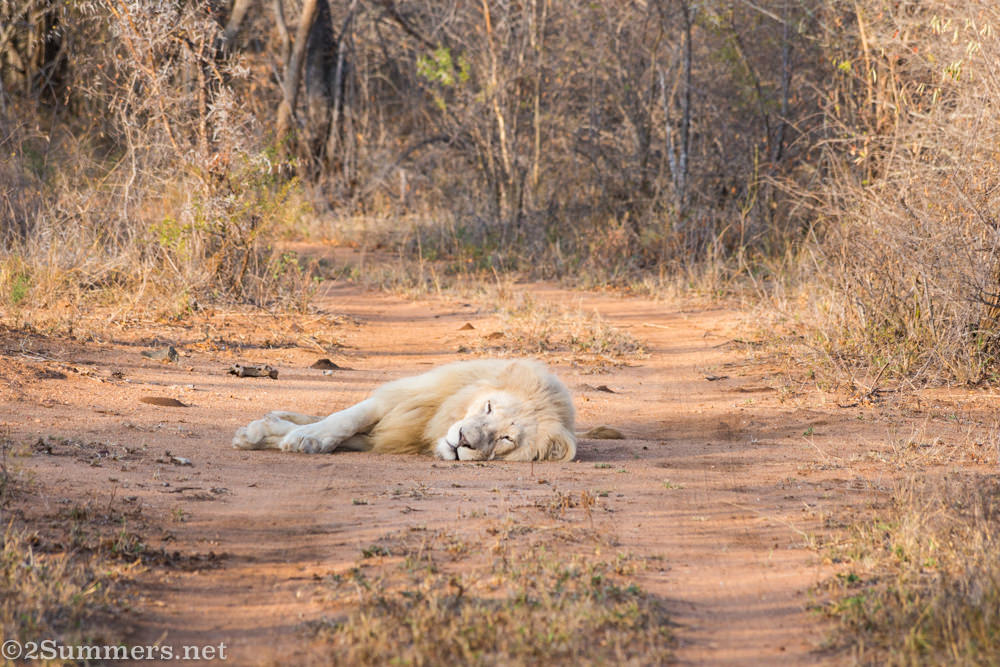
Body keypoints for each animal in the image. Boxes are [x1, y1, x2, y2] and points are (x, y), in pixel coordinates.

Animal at [231, 359, 576, 462]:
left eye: (506, 439)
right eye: (489, 407)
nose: (464, 441)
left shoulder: (388, 435)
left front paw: (272, 434)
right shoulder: (408, 396)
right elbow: (345, 418)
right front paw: (306, 437)